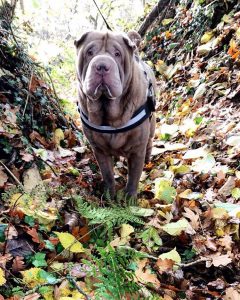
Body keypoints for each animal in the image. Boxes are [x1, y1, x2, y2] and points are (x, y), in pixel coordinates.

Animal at [75, 30, 157, 198]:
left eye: (117, 54)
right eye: (89, 52)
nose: (101, 66)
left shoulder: (137, 150)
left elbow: (134, 177)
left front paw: (130, 199)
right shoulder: (99, 150)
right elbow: (107, 173)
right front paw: (109, 195)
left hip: (151, 128)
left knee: (150, 142)